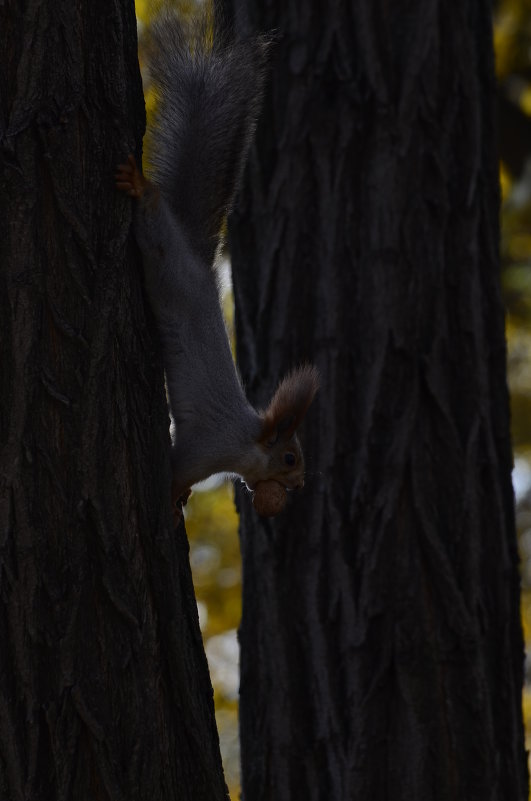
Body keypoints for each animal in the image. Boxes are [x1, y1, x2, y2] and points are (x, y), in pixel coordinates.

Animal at [114, 10, 318, 512]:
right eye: (289, 458)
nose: (300, 486)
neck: (247, 439)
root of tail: (199, 261)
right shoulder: (208, 447)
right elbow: (179, 467)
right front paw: (174, 494)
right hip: (168, 265)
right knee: (154, 229)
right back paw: (141, 188)